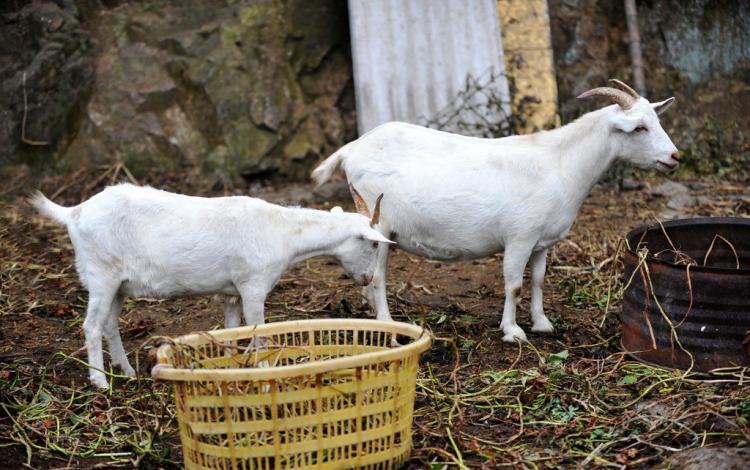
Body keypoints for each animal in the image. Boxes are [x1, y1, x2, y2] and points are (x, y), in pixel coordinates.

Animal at [31, 185, 390, 390]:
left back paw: (127, 371)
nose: (366, 280)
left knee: (109, 324)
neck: (282, 232)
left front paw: (232, 371)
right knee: (91, 326)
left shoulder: (231, 293)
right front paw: (264, 377)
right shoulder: (253, 286)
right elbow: (259, 334)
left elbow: (232, 334)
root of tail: (75, 212)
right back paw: (100, 381)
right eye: (373, 244)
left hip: (119, 283)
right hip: (101, 273)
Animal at [312, 79, 680, 344]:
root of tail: (352, 148)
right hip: (381, 222)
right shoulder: (520, 236)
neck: (559, 163)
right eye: (640, 128)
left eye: (657, 120)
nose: (675, 157)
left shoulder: (542, 242)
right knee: (378, 275)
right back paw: (387, 324)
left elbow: (539, 280)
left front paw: (542, 323)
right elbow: (514, 284)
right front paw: (513, 332)